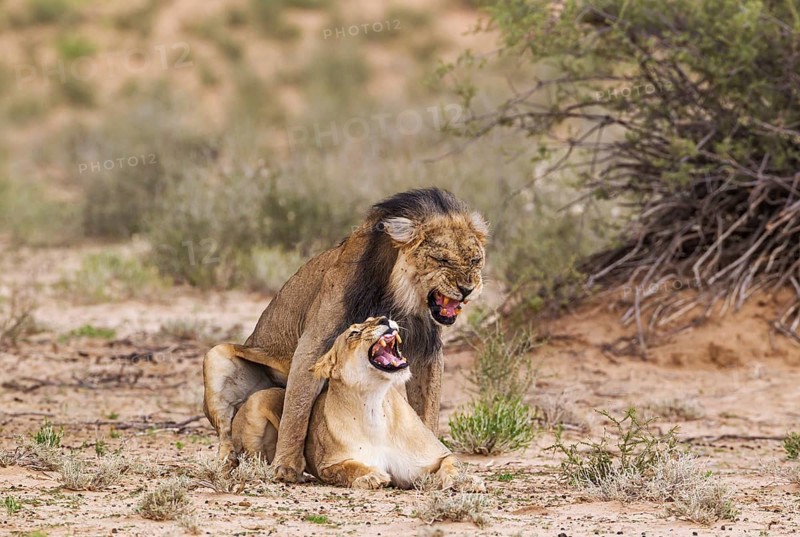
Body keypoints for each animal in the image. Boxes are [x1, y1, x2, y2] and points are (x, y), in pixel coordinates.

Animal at [231, 317, 468, 490]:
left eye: (375, 317)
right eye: (354, 333)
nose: (384, 319)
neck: (374, 405)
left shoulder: (436, 456)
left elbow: (452, 464)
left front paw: (464, 481)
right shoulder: (328, 464)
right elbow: (350, 467)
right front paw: (372, 477)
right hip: (256, 404)